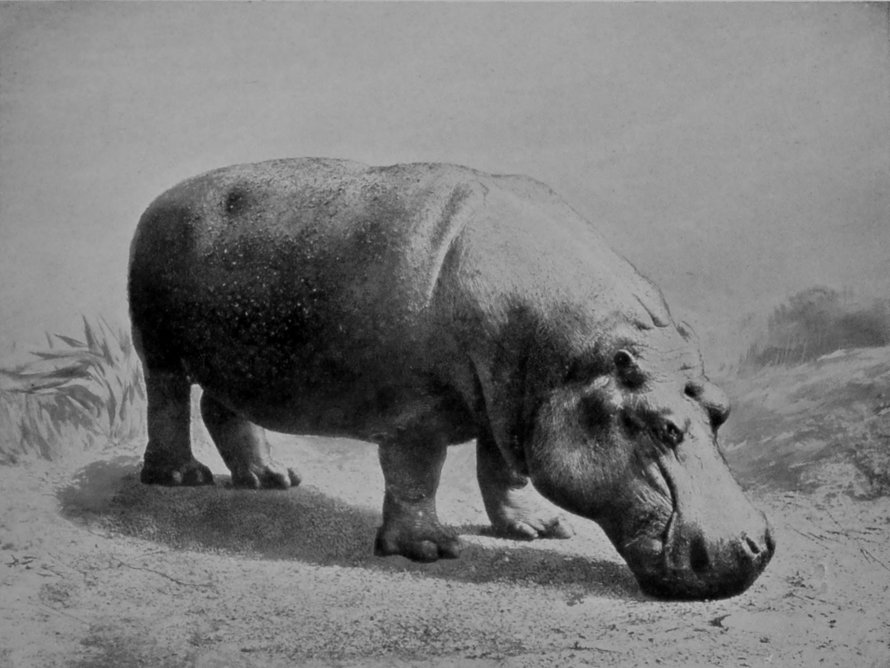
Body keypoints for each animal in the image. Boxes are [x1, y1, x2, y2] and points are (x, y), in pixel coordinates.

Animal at [128, 157, 774, 600]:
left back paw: (273, 479)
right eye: (664, 428)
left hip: (235, 357)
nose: (756, 548)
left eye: (721, 411)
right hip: (157, 347)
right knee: (167, 403)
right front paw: (432, 550)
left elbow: (503, 470)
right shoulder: (418, 414)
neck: (576, 359)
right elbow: (417, 475)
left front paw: (539, 529)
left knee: (221, 408)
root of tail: (163, 195)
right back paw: (181, 478)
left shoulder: (514, 402)